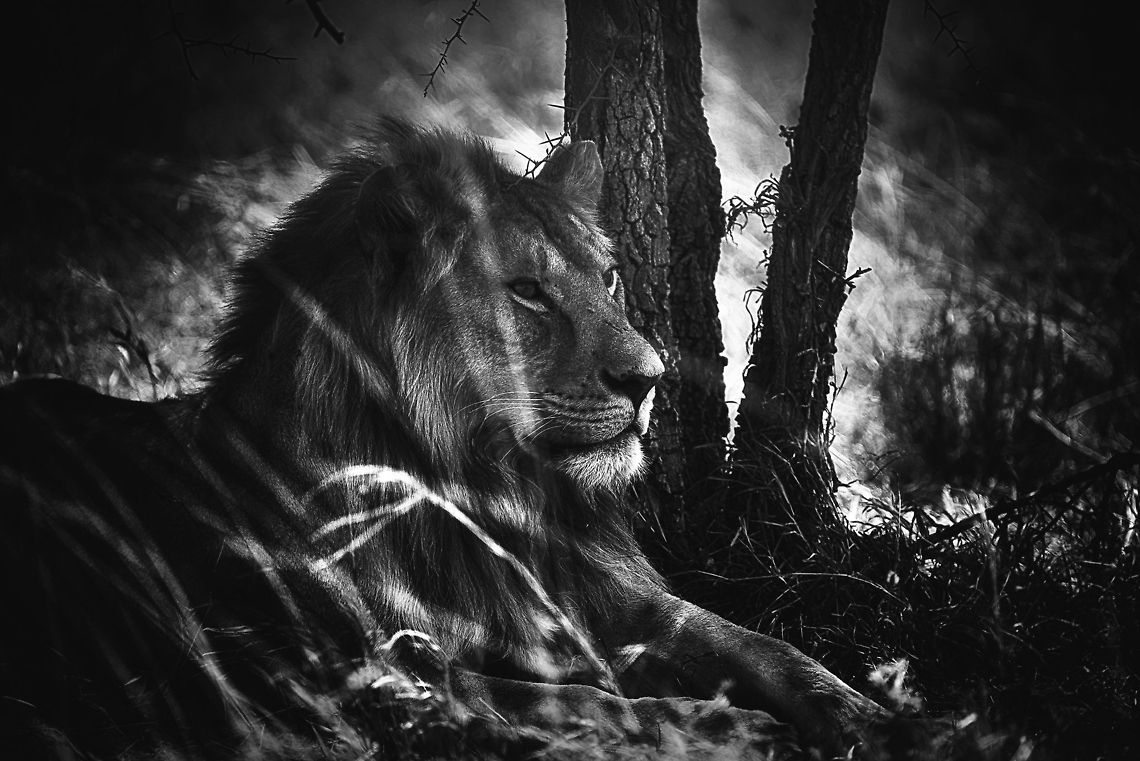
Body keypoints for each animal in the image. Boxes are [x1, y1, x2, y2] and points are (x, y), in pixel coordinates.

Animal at [0, 120, 884, 759]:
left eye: (605, 277)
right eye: (527, 291)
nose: (650, 378)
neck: (486, 490)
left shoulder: (605, 597)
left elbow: (764, 647)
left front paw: (884, 719)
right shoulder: (372, 676)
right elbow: (582, 701)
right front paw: (736, 729)